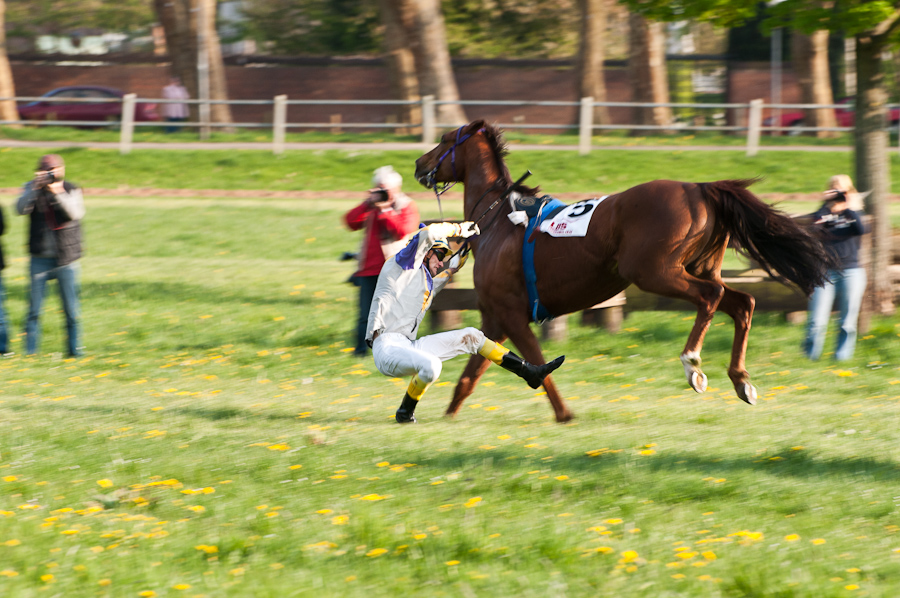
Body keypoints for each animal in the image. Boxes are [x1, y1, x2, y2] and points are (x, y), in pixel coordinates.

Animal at [414, 119, 828, 424]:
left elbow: (537, 365)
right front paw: (447, 416)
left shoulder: (512, 314)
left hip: (654, 271)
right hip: (698, 267)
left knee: (711, 297)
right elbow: (469, 377)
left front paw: (564, 414)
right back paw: (741, 379)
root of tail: (699, 188)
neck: (498, 220)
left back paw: (692, 362)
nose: (419, 164)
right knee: (741, 302)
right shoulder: (495, 317)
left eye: (445, 139)